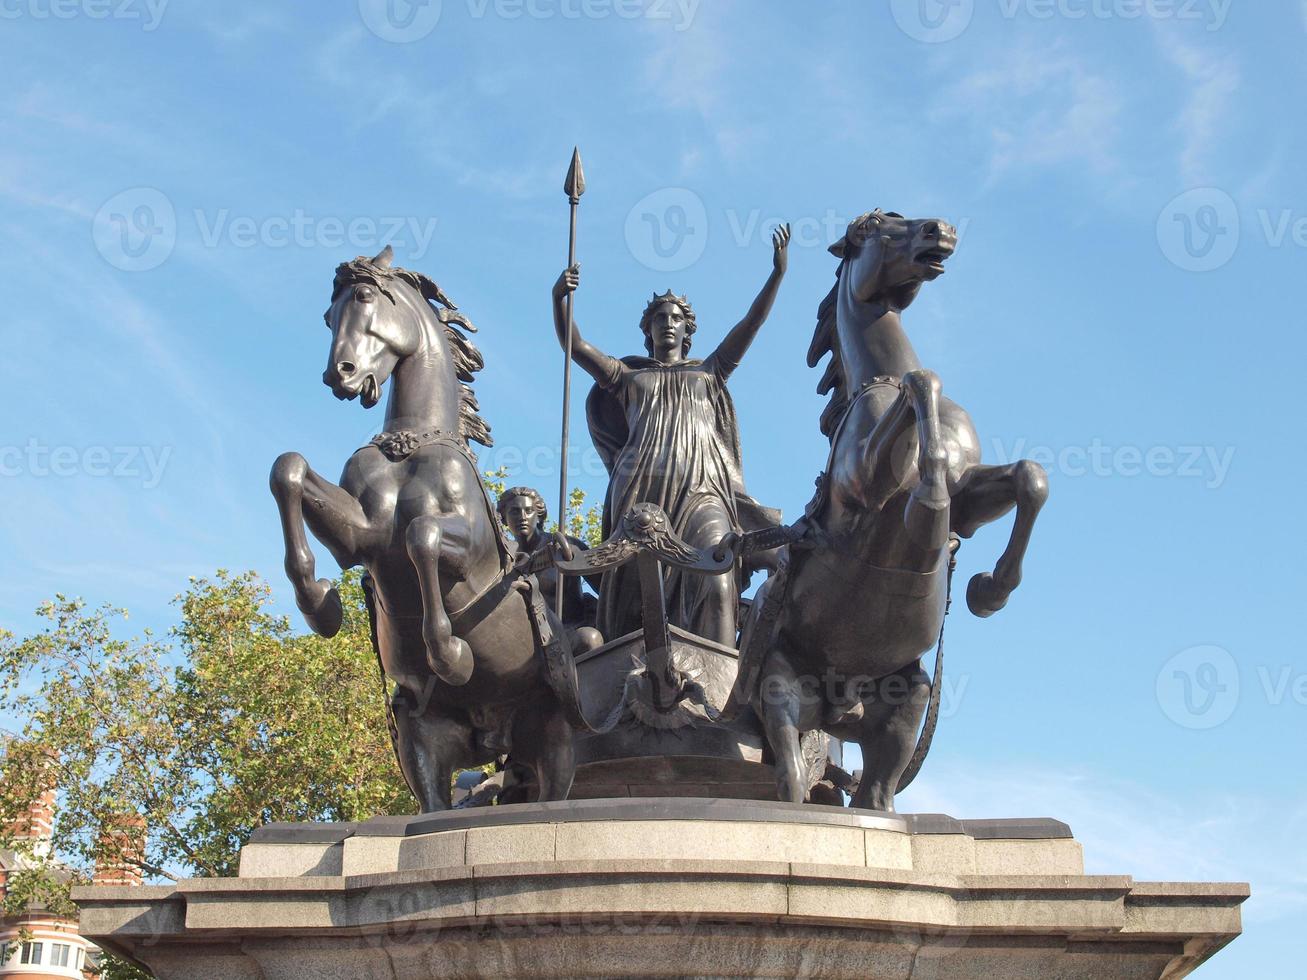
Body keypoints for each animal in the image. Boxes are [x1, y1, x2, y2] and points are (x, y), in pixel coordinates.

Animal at [270, 246, 588, 815]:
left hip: (554, 737)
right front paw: (320, 603)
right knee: (435, 802)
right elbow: (288, 468)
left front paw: (450, 655)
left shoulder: (469, 550)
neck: (410, 444)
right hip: (424, 744)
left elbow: (422, 537)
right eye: (328, 317)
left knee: (551, 792)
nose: (339, 374)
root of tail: (495, 739)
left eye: (365, 297)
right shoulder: (362, 535)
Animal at [737, 209, 1050, 815]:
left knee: (876, 798)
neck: (875, 381)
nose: (940, 230)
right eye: (877, 226)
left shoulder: (971, 497)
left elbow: (1029, 477)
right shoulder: (868, 489)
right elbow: (922, 385)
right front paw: (933, 517)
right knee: (791, 781)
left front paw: (987, 590)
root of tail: (841, 706)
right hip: (780, 694)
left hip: (905, 711)